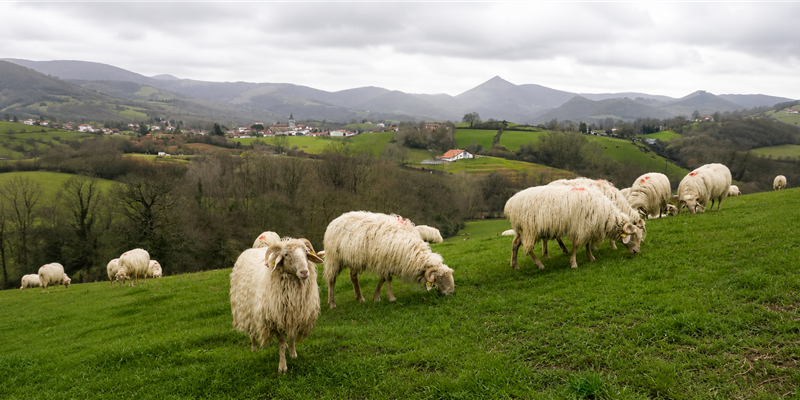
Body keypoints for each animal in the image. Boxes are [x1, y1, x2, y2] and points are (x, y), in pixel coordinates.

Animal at [229, 238, 323, 373]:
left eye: (306, 252)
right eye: (286, 254)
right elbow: (281, 343)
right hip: (245, 310)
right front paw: (282, 367)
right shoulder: (276, 319)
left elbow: (293, 336)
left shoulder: (295, 316)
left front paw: (293, 353)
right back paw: (254, 347)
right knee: (251, 331)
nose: (304, 272)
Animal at [323, 211, 455, 309]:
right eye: (440, 278)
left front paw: (376, 297)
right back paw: (332, 303)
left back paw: (360, 298)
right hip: (333, 259)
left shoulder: (386, 262)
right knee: (331, 280)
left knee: (354, 278)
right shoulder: (386, 260)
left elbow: (383, 279)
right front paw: (391, 298)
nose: (451, 293)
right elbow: (388, 279)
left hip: (354, 259)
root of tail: (335, 220)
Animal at [504, 185, 642, 270]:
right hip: (529, 229)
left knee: (515, 244)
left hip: (521, 229)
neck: (606, 215)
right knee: (527, 248)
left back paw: (514, 265)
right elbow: (576, 246)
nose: (637, 251)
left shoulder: (587, 227)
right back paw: (540, 265)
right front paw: (574, 263)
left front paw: (591, 258)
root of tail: (511, 202)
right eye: (634, 235)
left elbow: (587, 245)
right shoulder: (580, 227)